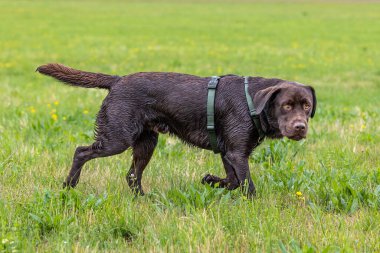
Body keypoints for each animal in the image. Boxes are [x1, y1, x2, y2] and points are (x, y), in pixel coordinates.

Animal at [37, 62, 316, 196]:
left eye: (307, 106)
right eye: (286, 105)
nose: (300, 127)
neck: (252, 101)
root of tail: (117, 80)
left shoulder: (230, 153)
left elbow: (233, 181)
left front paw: (210, 180)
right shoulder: (237, 154)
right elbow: (247, 185)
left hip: (146, 142)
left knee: (132, 175)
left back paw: (144, 199)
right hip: (117, 138)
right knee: (81, 152)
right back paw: (69, 185)